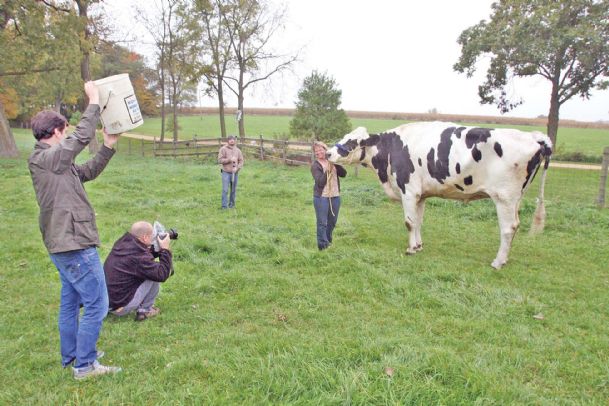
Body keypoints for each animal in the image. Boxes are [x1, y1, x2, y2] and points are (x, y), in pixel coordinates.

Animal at [328, 123, 552, 270]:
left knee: (508, 228)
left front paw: (410, 249)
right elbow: (418, 222)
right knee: (515, 226)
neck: (391, 150)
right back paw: (504, 259)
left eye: (352, 141)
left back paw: (498, 262)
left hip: (504, 197)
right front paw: (418, 246)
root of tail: (535, 136)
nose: (329, 153)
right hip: (515, 199)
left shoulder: (408, 191)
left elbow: (409, 222)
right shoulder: (420, 195)